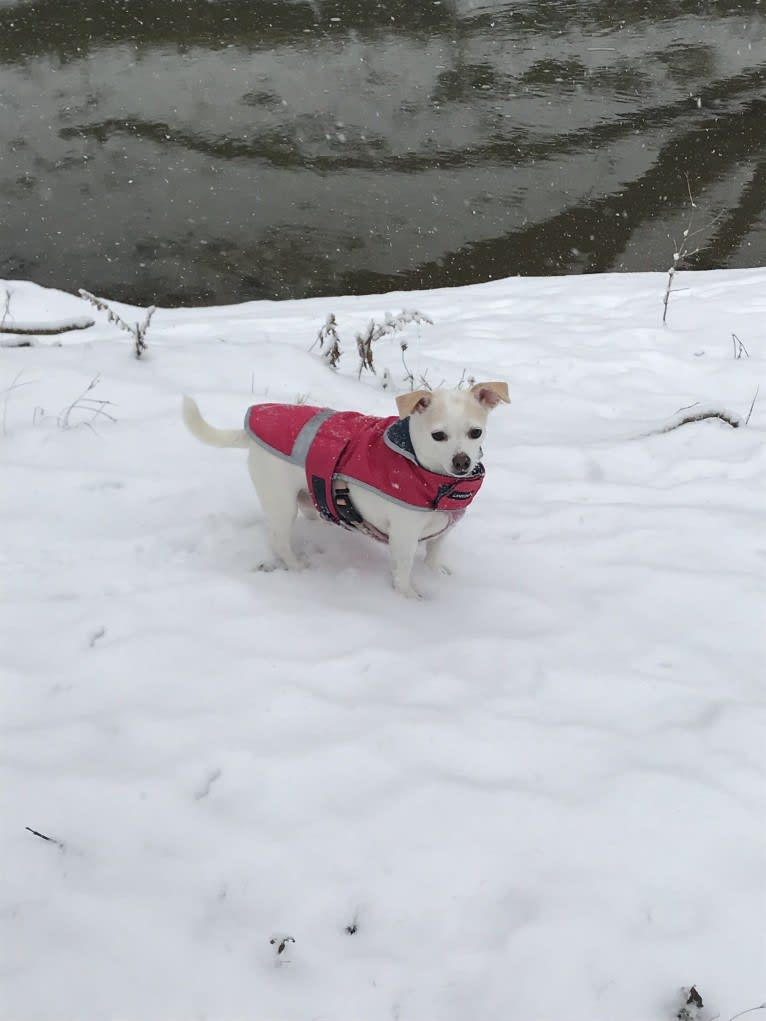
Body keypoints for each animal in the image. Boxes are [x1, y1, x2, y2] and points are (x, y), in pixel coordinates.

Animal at [181, 381, 510, 596]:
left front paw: (436, 573)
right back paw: (297, 568)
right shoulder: (403, 537)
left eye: (475, 432)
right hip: (280, 503)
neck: (437, 479)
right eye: (438, 435)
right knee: (280, 541)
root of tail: (248, 430)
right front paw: (409, 598)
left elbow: (434, 552)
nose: (462, 462)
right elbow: (403, 570)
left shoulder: (443, 528)